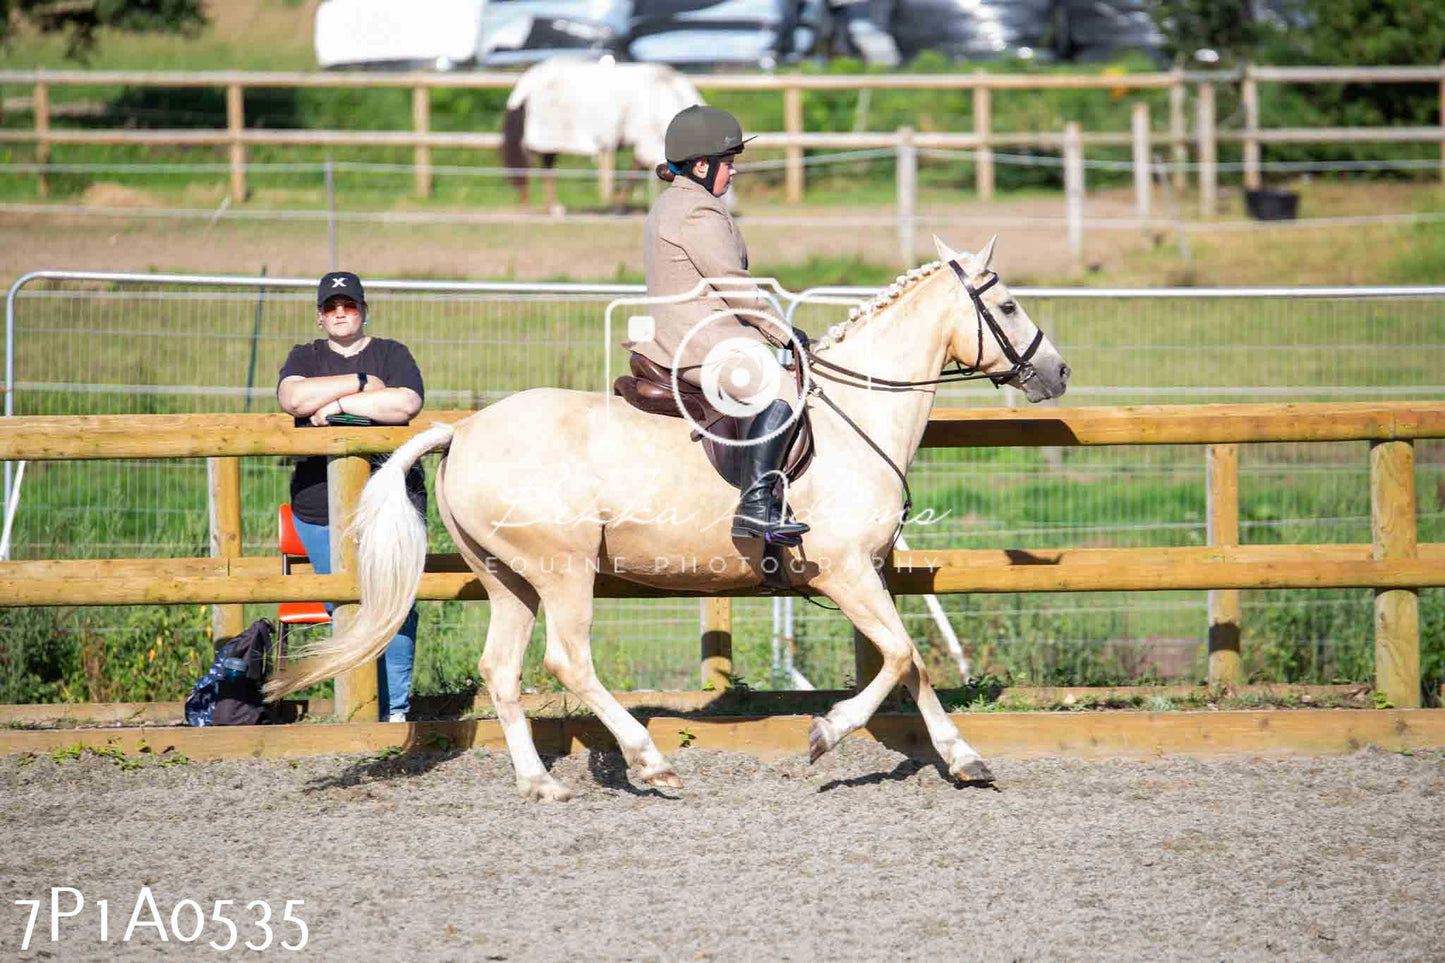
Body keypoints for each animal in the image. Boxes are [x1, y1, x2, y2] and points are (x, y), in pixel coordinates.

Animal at [265, 235, 1069, 798]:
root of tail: (462, 432)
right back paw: (650, 763)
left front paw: (965, 759)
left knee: (500, 670)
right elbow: (901, 656)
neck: (857, 414)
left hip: (507, 577)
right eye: (1005, 307)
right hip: (563, 570)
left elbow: (915, 664)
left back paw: (540, 783)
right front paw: (824, 736)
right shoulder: (843, 572)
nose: (1056, 371)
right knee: (568, 660)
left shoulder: (864, 576)